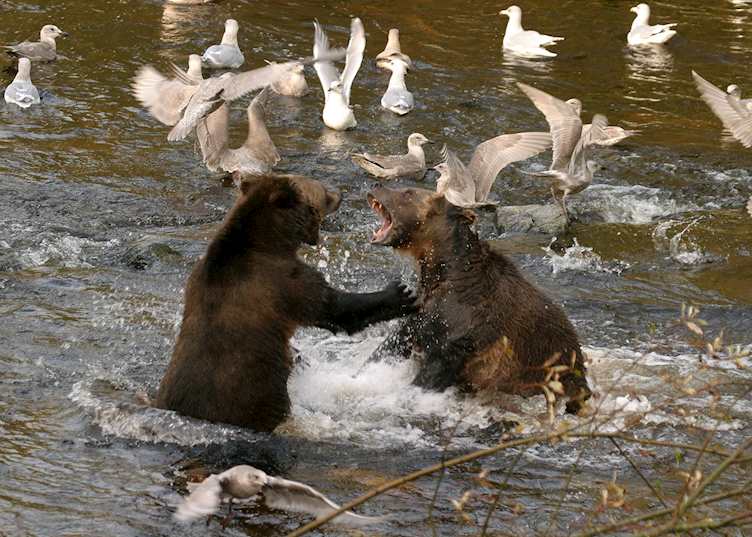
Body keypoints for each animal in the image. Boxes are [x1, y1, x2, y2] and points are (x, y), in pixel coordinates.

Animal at [155, 175, 416, 431]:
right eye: (321, 190)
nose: (340, 193)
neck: (270, 240)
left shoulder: (198, 276)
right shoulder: (283, 282)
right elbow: (334, 309)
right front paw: (401, 293)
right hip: (255, 397)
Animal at [366, 186, 591, 414]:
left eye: (408, 192)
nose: (376, 187)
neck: (445, 270)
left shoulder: (465, 329)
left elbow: (434, 370)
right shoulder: (424, 313)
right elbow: (394, 344)